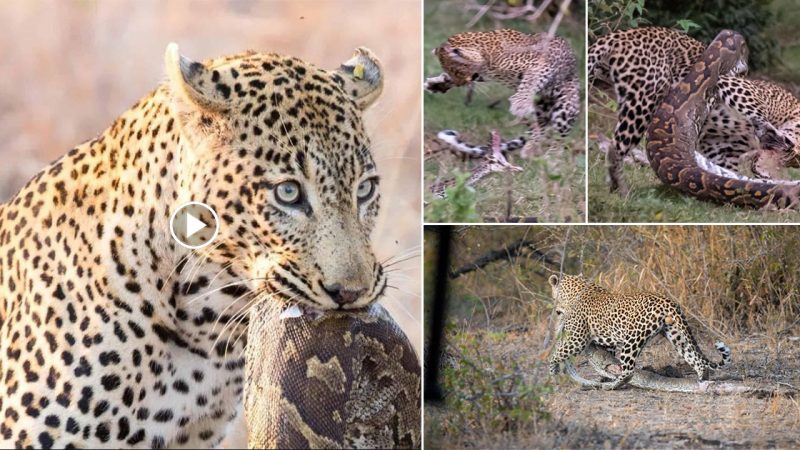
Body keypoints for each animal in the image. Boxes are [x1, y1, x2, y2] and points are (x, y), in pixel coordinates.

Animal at [428, 28, 580, 158]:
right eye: (450, 72)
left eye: (457, 71)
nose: (460, 84)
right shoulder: (483, 74)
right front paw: (436, 84)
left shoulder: (541, 64)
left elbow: (530, 80)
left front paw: (520, 102)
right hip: (538, 112)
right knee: (538, 130)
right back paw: (530, 148)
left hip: (565, 108)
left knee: (559, 137)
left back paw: (551, 156)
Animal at [548, 274, 728, 390]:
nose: (555, 310)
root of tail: (668, 301)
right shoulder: (608, 343)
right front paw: (603, 376)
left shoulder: (577, 339)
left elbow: (556, 354)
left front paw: (552, 372)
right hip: (676, 334)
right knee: (697, 360)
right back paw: (702, 382)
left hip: (633, 339)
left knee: (629, 371)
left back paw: (611, 386)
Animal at [588, 25, 800, 192]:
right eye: (788, 150)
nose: (761, 172)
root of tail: (615, 37)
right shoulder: (735, 84)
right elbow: (754, 109)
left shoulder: (719, 148)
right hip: (643, 102)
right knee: (615, 149)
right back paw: (620, 190)